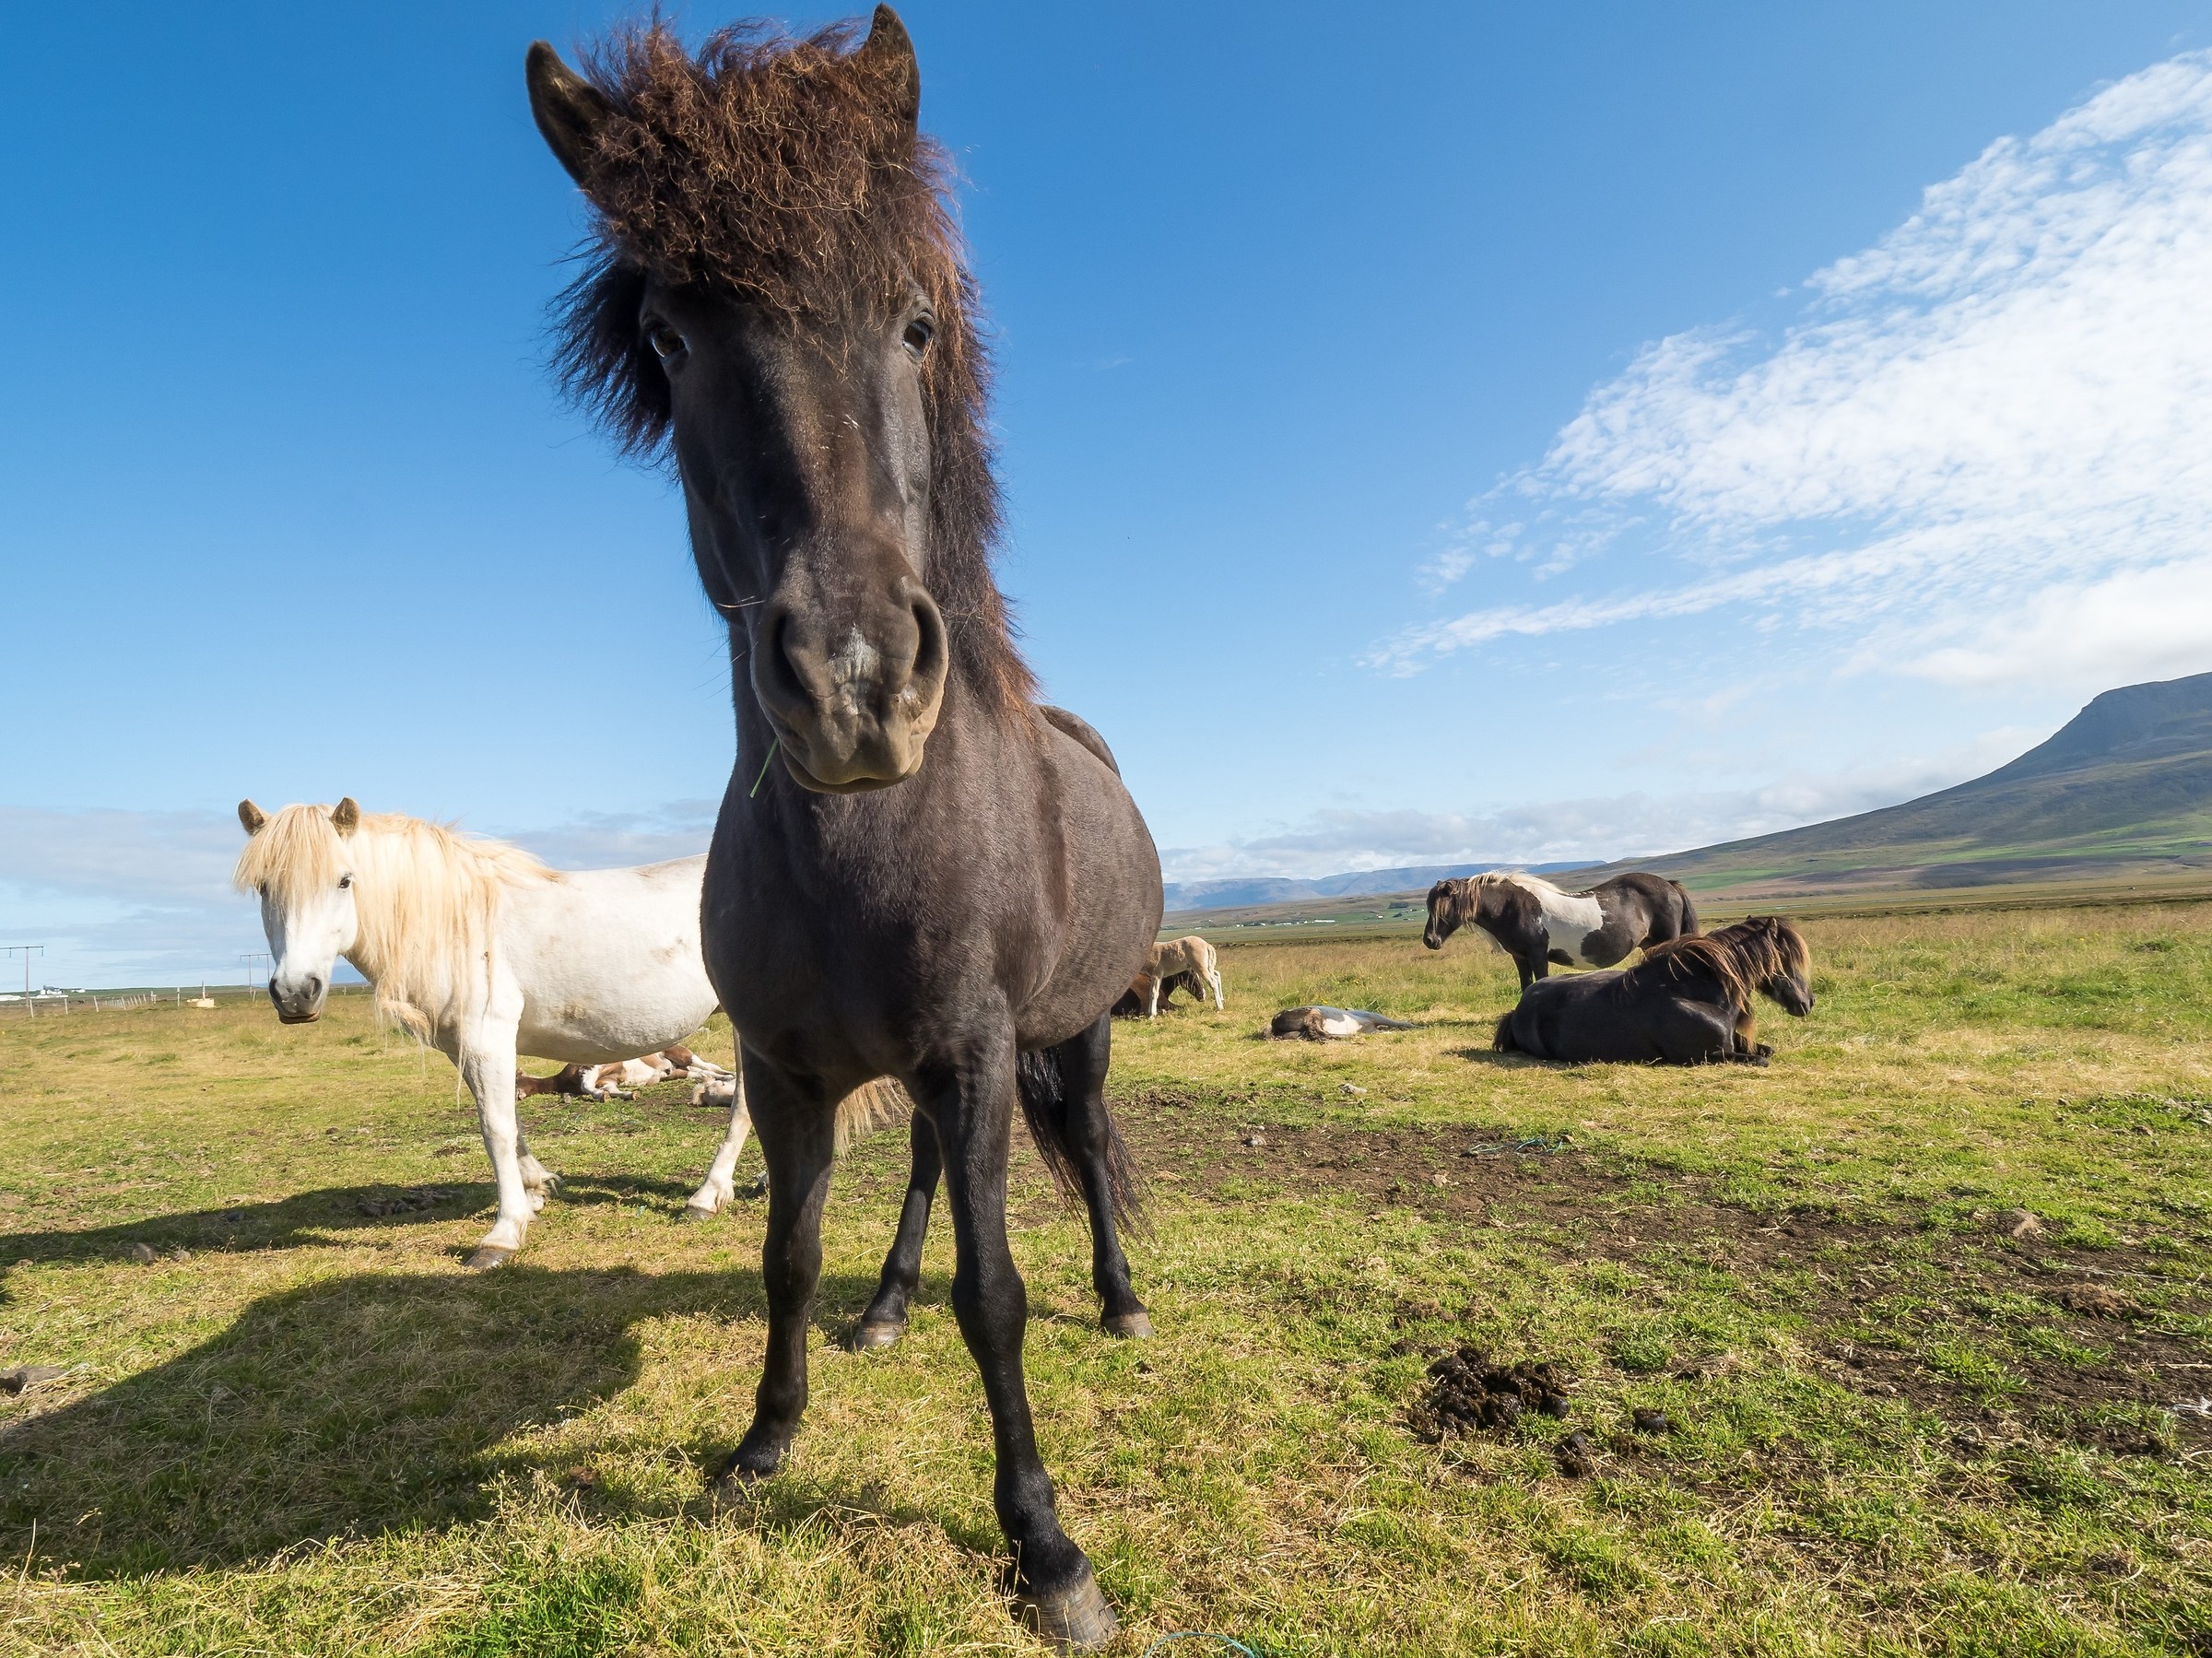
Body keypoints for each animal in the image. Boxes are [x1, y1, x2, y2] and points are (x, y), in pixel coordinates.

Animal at [233, 799, 898, 1262]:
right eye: (265, 887)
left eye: (344, 879)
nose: (295, 993)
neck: (457, 919)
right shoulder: (468, 1046)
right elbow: (506, 1119)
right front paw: (537, 1188)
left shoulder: (487, 1035)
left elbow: (495, 1128)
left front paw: (502, 1233)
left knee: (744, 1107)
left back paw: (708, 1195)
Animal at [528, 13, 1157, 1645]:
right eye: (670, 339)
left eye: (917, 323)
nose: (859, 684)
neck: (863, 851)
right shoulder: (786, 1064)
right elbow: (785, 1249)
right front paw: (763, 1439)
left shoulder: (985, 1047)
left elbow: (997, 1295)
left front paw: (1047, 1547)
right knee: (928, 1176)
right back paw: (883, 1306)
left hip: (1076, 1031)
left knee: (1090, 1144)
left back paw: (1123, 1295)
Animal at [1423, 870, 1700, 989]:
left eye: (1442, 906)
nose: (1430, 940)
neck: (1512, 906)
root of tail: (1670, 885)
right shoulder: (1520, 957)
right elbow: (1525, 986)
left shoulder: (1537, 955)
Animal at [1492, 915, 1814, 1065]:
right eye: (1787, 958)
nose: (1808, 1002)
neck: (1696, 992)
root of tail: (1520, 1007)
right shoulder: (1709, 1055)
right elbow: (1761, 1059)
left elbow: (1767, 1050)